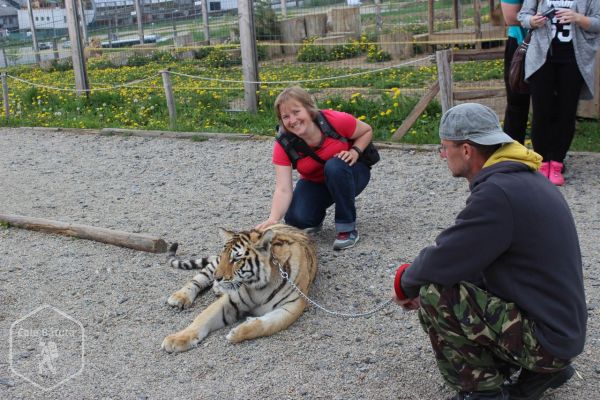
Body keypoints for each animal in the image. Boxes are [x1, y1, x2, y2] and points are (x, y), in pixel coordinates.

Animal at [159, 225, 318, 354]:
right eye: (224, 256)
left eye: (236, 259)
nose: (217, 277)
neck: (259, 286)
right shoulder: (230, 300)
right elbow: (201, 319)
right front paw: (176, 339)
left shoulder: (291, 307)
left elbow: (266, 325)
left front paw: (237, 332)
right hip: (212, 267)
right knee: (198, 278)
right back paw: (180, 297)